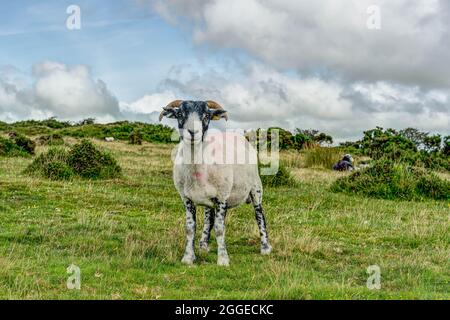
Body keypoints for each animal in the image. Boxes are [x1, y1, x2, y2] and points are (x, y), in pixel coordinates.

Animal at [160, 100, 272, 264]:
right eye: (179, 114)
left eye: (207, 115)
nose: (193, 132)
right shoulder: (187, 199)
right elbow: (190, 228)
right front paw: (188, 257)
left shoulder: (222, 197)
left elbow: (220, 229)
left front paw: (223, 259)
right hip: (210, 202)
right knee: (209, 219)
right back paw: (203, 245)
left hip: (256, 187)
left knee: (259, 215)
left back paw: (265, 247)